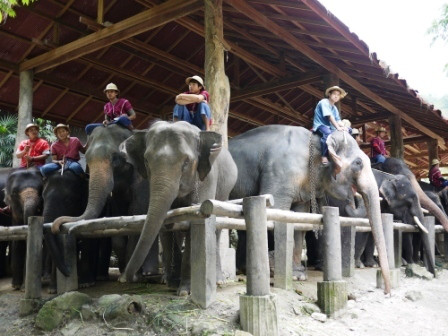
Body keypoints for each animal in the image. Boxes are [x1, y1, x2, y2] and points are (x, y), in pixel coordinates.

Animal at [118, 119, 238, 296]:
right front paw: (173, 284)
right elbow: (166, 224)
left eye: (186, 162)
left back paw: (218, 280)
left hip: (225, 192)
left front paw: (184, 291)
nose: (126, 278)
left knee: (216, 228)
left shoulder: (207, 178)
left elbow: (194, 222)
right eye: (146, 161)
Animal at [229, 124, 390, 292]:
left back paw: (242, 269)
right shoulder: (279, 174)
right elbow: (276, 211)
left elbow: (300, 221)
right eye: (358, 163)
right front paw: (282, 272)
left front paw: (298, 275)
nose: (387, 292)